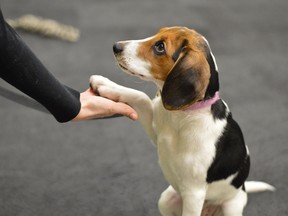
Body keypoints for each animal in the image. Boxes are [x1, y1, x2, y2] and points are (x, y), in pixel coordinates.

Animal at [90, 26, 274, 215]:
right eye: (158, 33)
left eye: (160, 47)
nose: (116, 46)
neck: (181, 116)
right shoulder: (156, 134)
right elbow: (140, 97)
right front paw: (106, 85)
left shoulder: (194, 193)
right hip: (166, 200)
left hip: (231, 206)